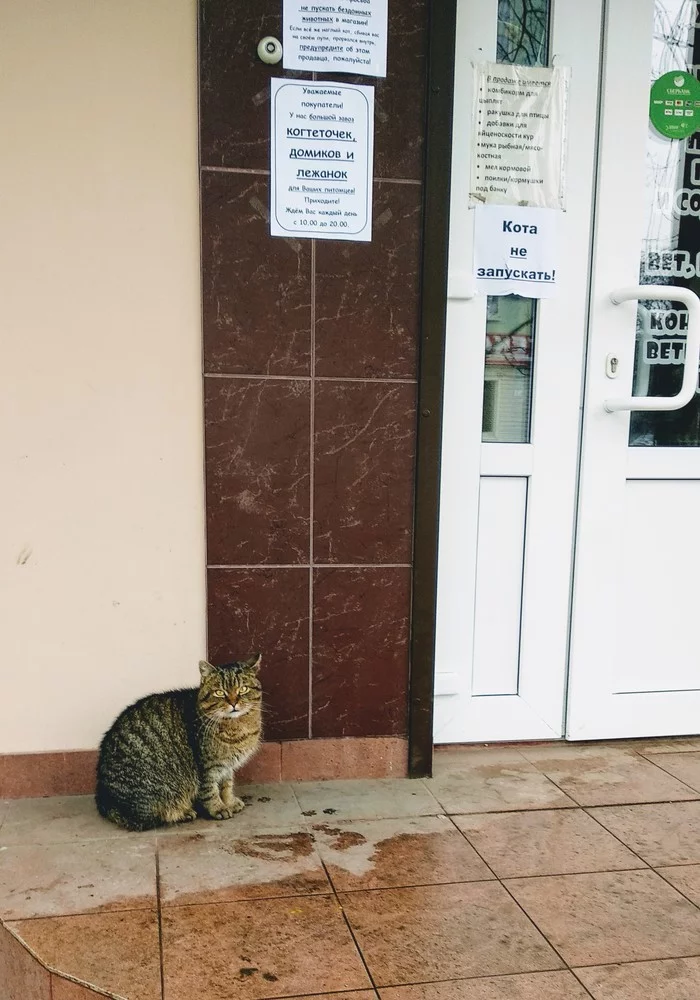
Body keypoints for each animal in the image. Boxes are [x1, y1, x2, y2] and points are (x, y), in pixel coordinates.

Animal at [94, 656, 264, 828]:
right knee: (152, 817)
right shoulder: (207, 767)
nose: (233, 703)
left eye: (243, 689)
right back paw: (183, 812)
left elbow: (227, 786)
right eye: (219, 692)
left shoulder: (226, 767)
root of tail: (105, 800)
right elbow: (210, 791)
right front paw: (218, 808)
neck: (238, 726)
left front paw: (229, 802)